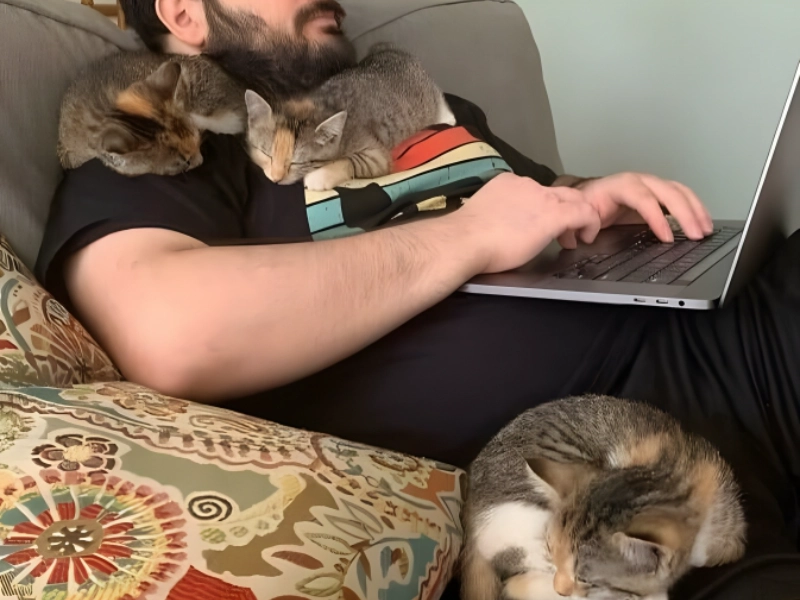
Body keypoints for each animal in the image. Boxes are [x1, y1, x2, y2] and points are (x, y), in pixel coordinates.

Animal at [244, 43, 457, 191]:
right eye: (266, 154)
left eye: (297, 163)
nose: (276, 178)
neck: (320, 101)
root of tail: (389, 51)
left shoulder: (376, 156)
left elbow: (349, 161)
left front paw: (318, 176)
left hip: (424, 91)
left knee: (438, 97)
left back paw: (447, 118)